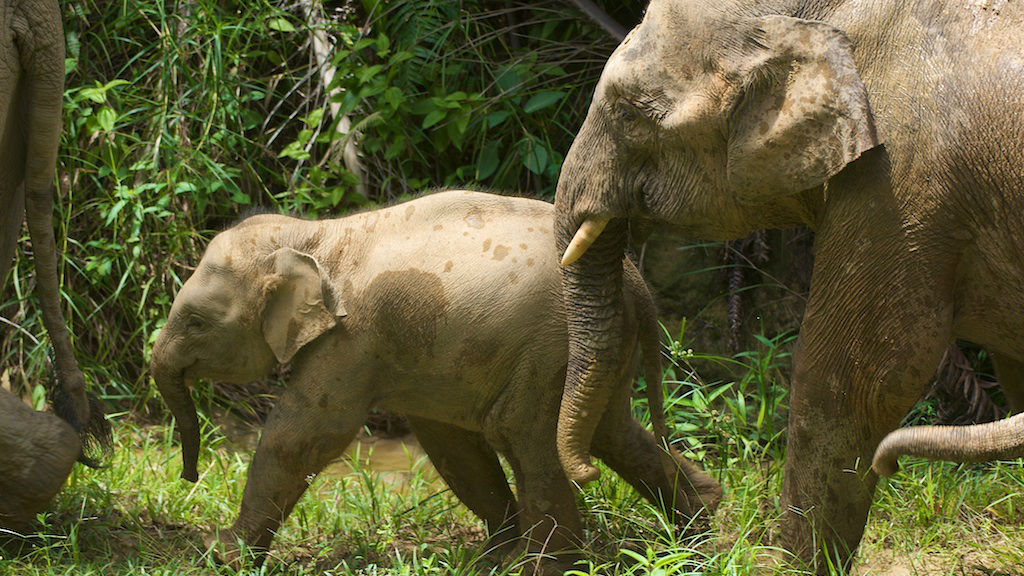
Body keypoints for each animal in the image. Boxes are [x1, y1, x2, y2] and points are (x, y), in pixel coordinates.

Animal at [151, 189, 720, 569]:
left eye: (196, 322)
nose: (188, 477)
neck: (313, 234)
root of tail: (635, 280)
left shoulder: (351, 338)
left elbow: (304, 434)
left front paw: (223, 555)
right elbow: (446, 441)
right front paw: (488, 558)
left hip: (555, 346)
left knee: (523, 433)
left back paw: (545, 567)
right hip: (598, 348)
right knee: (610, 430)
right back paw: (700, 532)